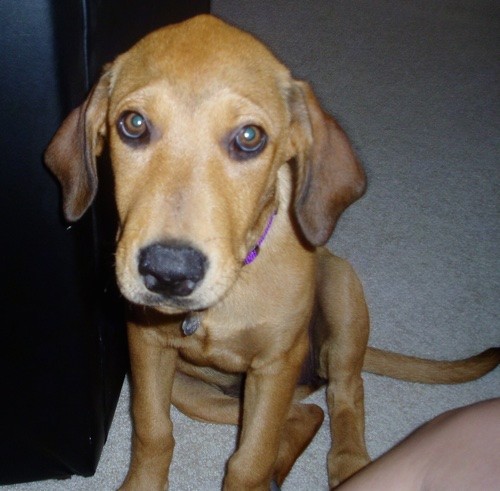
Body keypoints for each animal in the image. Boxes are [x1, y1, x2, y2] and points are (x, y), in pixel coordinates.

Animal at [44, 15, 500, 491]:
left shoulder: (275, 365)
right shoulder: (147, 345)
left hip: (342, 297)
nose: (168, 273)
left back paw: (350, 462)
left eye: (249, 137)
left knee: (345, 393)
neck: (227, 297)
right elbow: (153, 431)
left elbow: (250, 459)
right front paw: (142, 485)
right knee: (305, 412)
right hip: (195, 392)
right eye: (133, 124)